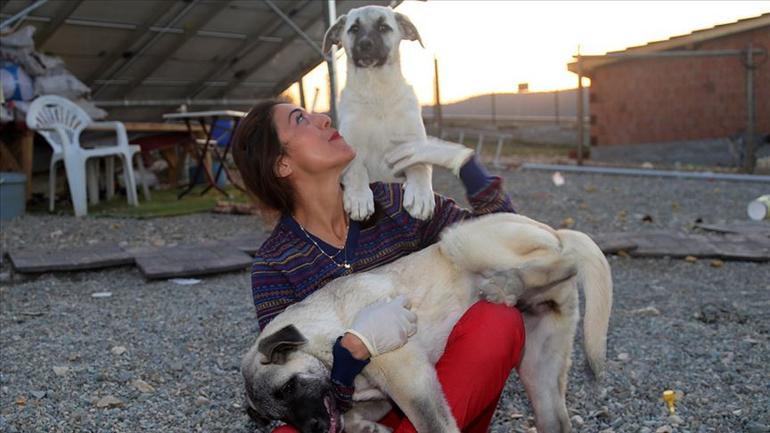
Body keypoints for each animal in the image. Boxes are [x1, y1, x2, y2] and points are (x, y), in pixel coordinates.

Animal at [320, 3, 436, 219]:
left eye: (383, 27)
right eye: (354, 28)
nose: (365, 44)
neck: (376, 94)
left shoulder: (414, 144)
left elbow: (419, 167)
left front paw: (421, 196)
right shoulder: (350, 147)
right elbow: (356, 170)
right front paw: (358, 198)